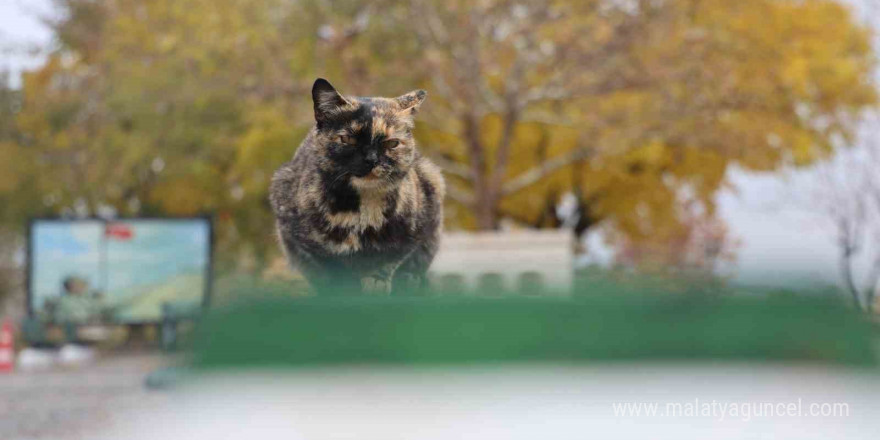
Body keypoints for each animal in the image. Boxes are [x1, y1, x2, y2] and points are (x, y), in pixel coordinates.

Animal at [268, 79, 444, 296]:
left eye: (392, 143)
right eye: (347, 139)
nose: (372, 159)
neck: (363, 212)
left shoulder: (410, 238)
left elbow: (386, 264)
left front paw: (376, 285)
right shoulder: (306, 246)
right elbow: (332, 273)